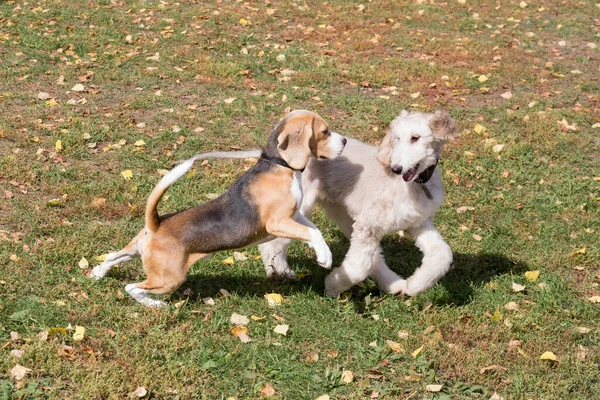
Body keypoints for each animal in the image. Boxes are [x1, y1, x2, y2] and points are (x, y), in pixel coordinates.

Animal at [92, 109, 346, 306]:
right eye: (325, 132)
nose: (344, 141)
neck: (278, 164)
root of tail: (155, 224)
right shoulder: (277, 223)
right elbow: (311, 233)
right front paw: (325, 257)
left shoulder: (294, 216)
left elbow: (314, 230)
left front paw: (323, 251)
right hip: (168, 279)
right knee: (132, 287)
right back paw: (153, 304)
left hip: (137, 250)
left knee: (113, 256)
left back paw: (98, 273)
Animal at [258, 109, 460, 296]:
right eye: (395, 139)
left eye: (415, 138)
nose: (395, 168)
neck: (413, 186)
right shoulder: (368, 225)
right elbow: (358, 267)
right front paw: (332, 285)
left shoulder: (417, 223)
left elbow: (443, 253)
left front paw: (415, 285)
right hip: (298, 208)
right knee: (272, 242)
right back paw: (279, 272)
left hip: (341, 212)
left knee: (373, 256)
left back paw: (393, 283)